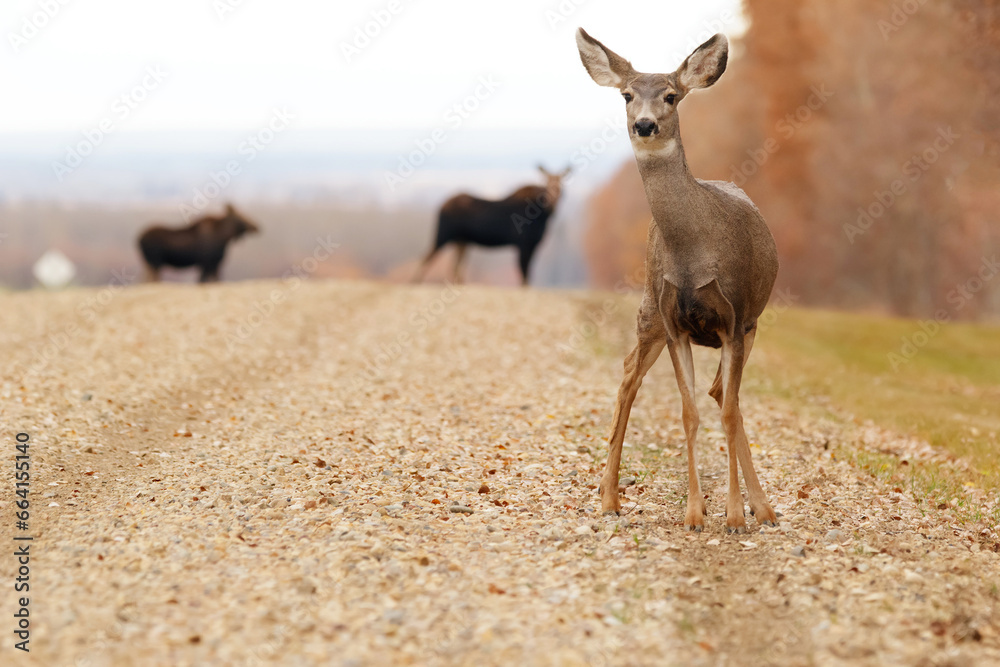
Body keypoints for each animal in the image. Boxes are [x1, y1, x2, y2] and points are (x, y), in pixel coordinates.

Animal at [412, 166, 571, 285]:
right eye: (547, 183)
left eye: (562, 183)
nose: (554, 197)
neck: (544, 217)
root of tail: (441, 206)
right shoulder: (523, 243)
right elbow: (524, 272)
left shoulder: (533, 244)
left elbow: (527, 272)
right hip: (443, 233)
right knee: (427, 256)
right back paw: (415, 282)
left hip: (461, 240)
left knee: (455, 265)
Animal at [576, 28, 780, 533]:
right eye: (627, 95)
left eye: (670, 95)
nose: (645, 125)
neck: (693, 253)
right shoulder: (675, 323)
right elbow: (689, 413)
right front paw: (695, 512)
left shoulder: (735, 318)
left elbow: (725, 412)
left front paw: (734, 515)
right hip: (649, 308)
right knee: (631, 374)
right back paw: (608, 499)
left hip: (751, 324)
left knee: (723, 395)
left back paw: (762, 507)